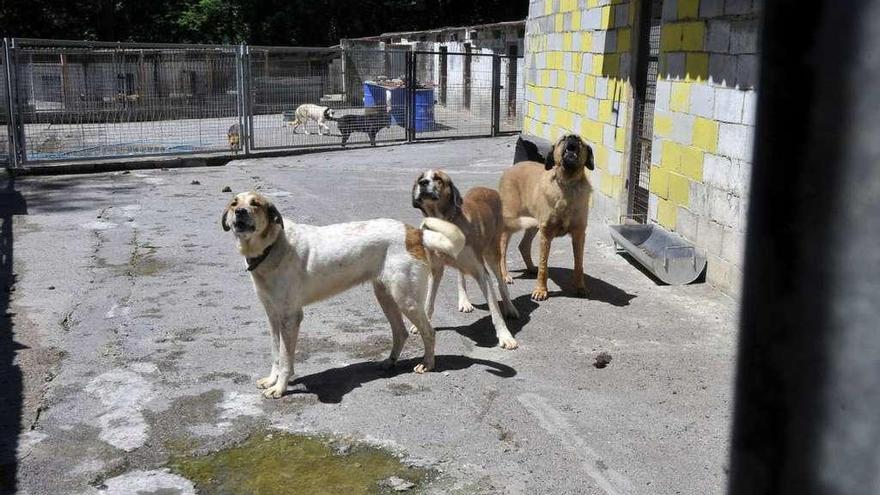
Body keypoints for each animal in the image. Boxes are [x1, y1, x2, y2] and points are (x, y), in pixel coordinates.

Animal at [223, 191, 464, 400]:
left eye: (255, 204)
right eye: (234, 203)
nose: (240, 212)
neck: (272, 247)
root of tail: (413, 232)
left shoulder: (290, 317)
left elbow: (285, 359)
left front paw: (280, 388)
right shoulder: (273, 317)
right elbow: (275, 353)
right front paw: (271, 380)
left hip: (407, 299)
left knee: (429, 331)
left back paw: (428, 364)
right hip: (385, 296)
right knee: (401, 332)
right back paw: (389, 362)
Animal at [414, 172, 524, 350]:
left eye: (438, 178)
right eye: (420, 178)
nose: (423, 183)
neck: (445, 224)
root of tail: (487, 189)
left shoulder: (481, 272)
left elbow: (495, 309)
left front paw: (505, 336)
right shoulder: (435, 269)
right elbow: (429, 300)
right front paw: (422, 324)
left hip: (492, 254)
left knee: (501, 283)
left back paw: (510, 307)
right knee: (461, 276)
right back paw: (464, 301)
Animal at [498, 134, 596, 300]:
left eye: (580, 141)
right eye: (563, 139)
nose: (572, 137)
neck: (567, 183)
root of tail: (512, 168)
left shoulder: (579, 234)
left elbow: (578, 264)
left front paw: (580, 287)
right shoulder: (546, 234)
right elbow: (544, 266)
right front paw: (541, 291)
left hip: (532, 223)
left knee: (523, 245)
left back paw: (531, 268)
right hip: (510, 221)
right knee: (502, 249)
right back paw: (505, 275)